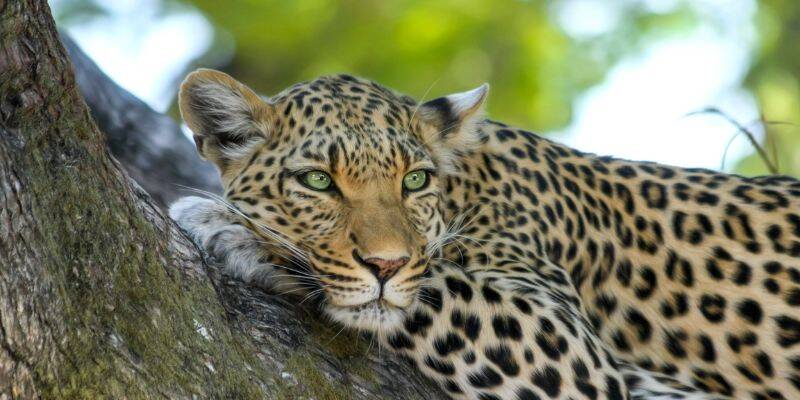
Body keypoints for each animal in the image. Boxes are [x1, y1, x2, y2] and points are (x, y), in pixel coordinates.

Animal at [169, 68, 800, 399]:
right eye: (319, 181)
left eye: (415, 180)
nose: (386, 265)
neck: (467, 188)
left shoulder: (574, 352)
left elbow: (437, 287)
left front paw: (234, 230)